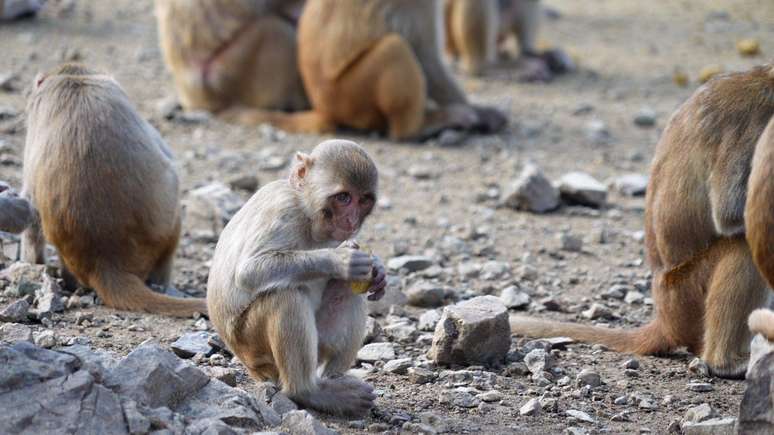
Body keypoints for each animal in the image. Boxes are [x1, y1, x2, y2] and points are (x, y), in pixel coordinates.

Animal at [209, 141, 388, 418]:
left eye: (363, 200)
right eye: (344, 197)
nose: (351, 220)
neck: (307, 211)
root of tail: (252, 369)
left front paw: (377, 268)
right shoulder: (284, 212)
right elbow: (249, 271)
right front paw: (340, 261)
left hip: (319, 344)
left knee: (347, 290)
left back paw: (333, 380)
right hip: (253, 347)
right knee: (286, 296)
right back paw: (309, 392)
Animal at [510, 64, 774, 378]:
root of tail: (665, 317)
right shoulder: (756, 120)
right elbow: (729, 215)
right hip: (687, 295)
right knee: (742, 248)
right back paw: (726, 363)